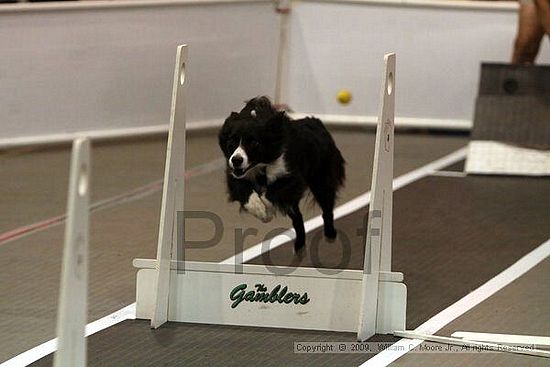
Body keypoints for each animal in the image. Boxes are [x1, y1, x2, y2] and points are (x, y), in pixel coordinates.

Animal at [219, 97, 344, 253]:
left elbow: (272, 193)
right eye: (231, 141)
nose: (236, 160)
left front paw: (267, 211)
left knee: (326, 207)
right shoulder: (234, 174)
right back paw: (299, 246)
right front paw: (260, 210)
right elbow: (243, 190)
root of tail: (317, 122)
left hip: (321, 177)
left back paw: (330, 234)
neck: (260, 166)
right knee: (298, 217)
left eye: (254, 143)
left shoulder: (293, 176)